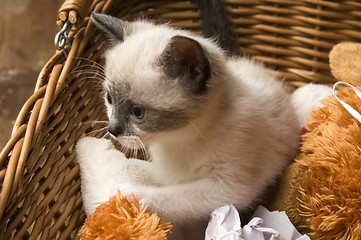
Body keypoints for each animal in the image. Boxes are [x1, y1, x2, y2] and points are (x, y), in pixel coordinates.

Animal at [76, 13, 330, 236]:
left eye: (137, 112)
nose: (113, 130)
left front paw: (130, 197)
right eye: (109, 99)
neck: (179, 138)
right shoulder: (169, 175)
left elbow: (180, 197)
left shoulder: (230, 188)